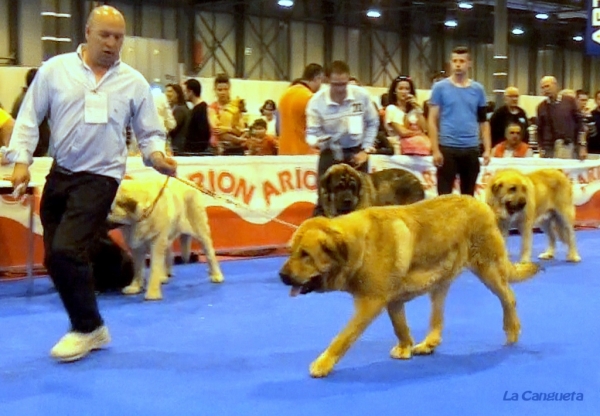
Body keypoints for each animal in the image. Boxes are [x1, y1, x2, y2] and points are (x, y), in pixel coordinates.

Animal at [278, 194, 540, 376]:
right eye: (291, 251)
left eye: (305, 255)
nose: (281, 275)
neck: (358, 247)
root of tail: (482, 204)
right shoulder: (392, 301)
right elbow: (400, 327)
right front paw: (405, 347)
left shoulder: (370, 304)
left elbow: (342, 337)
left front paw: (323, 364)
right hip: (440, 280)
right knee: (437, 318)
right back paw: (429, 343)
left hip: (488, 270)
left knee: (508, 297)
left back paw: (512, 330)